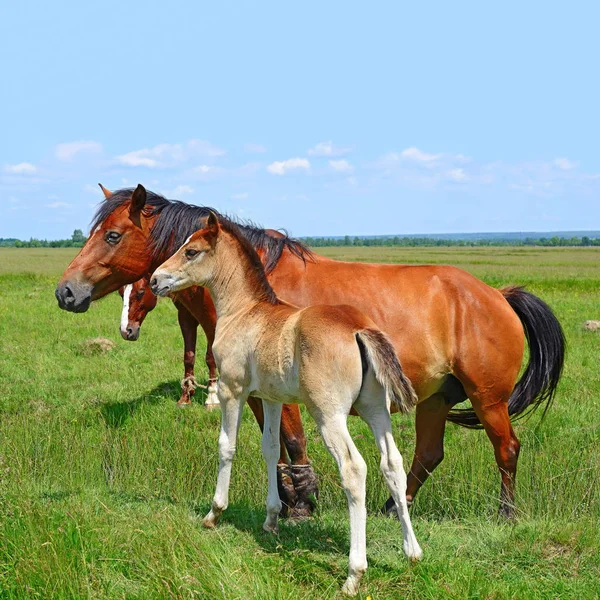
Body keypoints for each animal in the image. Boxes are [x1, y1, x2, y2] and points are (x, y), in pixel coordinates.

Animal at [54, 185, 564, 516]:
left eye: (113, 235)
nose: (66, 292)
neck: (254, 288)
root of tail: (497, 294)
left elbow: (295, 442)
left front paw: (301, 502)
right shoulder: (261, 393)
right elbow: (276, 446)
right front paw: (288, 498)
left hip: (488, 398)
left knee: (506, 448)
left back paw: (505, 514)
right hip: (436, 398)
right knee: (427, 455)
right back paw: (390, 508)